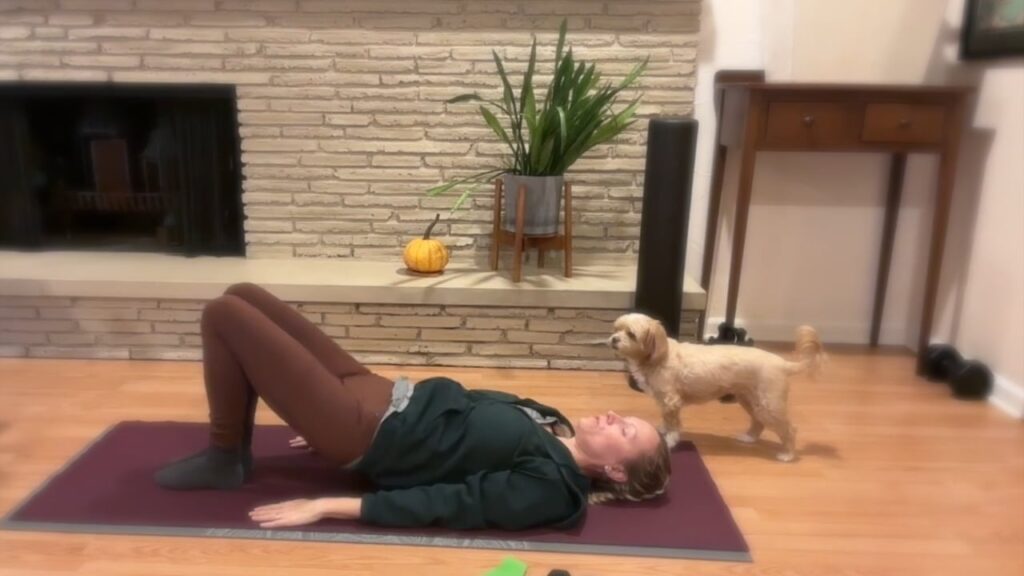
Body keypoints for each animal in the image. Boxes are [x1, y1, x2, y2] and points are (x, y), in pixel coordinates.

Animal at [606, 311, 823, 459]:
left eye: (631, 334)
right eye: (616, 329)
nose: (614, 339)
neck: (658, 357)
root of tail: (783, 363)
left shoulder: (671, 401)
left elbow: (674, 424)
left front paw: (669, 441)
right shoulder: (664, 403)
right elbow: (666, 421)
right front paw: (663, 431)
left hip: (770, 405)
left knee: (790, 429)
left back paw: (788, 454)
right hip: (750, 401)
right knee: (758, 422)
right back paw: (749, 438)